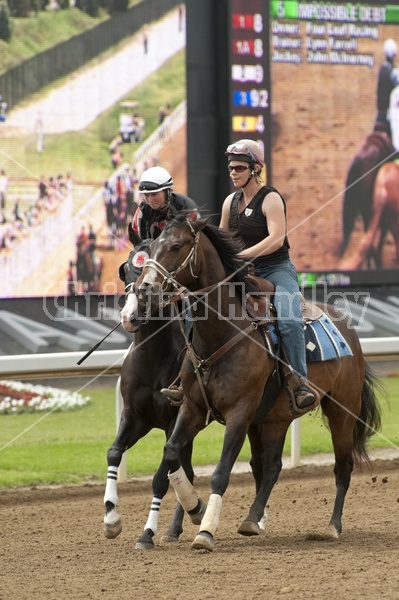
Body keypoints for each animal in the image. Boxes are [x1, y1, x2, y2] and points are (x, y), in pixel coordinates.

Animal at [135, 216, 384, 552]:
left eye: (175, 246)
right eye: (151, 248)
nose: (144, 289)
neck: (222, 334)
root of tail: (349, 331)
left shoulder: (239, 414)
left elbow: (221, 473)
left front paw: (205, 531)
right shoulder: (192, 408)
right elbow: (172, 452)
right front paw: (194, 509)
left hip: (342, 412)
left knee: (342, 467)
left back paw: (332, 526)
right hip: (273, 419)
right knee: (271, 467)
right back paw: (253, 519)